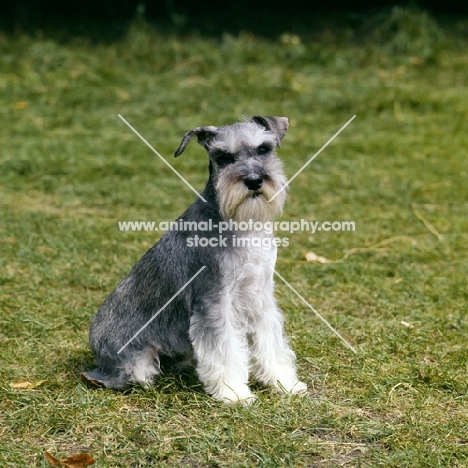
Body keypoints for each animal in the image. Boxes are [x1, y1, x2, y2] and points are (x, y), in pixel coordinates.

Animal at [85, 115, 308, 404]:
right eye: (224, 156)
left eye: (264, 149)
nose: (254, 180)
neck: (242, 226)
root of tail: (96, 359)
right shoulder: (214, 302)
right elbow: (225, 351)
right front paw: (235, 393)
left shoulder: (260, 296)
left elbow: (271, 343)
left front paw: (285, 383)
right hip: (136, 360)